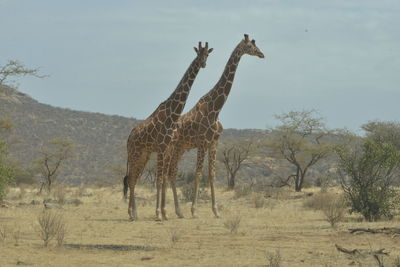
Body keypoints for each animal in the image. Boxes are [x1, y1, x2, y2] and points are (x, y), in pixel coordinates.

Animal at [124, 42, 212, 222]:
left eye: (207, 54)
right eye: (198, 54)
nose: (203, 64)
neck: (173, 112)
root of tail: (129, 137)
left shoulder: (165, 148)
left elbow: (162, 179)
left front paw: (164, 213)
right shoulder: (162, 147)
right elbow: (159, 180)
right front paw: (158, 214)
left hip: (144, 155)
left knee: (133, 178)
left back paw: (134, 213)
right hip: (134, 153)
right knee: (131, 179)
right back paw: (131, 213)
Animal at [166, 33, 264, 219]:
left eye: (256, 45)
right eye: (250, 46)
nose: (262, 54)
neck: (216, 108)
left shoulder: (214, 143)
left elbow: (211, 175)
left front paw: (216, 211)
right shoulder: (202, 143)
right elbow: (198, 174)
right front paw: (194, 211)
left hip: (180, 148)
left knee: (172, 172)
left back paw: (177, 211)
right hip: (172, 147)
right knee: (167, 172)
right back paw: (173, 211)